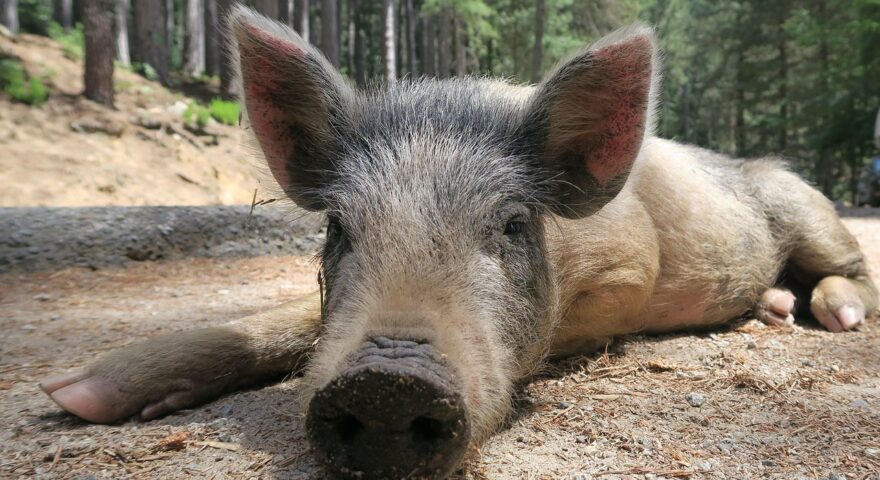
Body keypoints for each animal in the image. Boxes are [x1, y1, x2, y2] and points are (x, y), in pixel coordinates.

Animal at [39, 6, 878, 479]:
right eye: (338, 226)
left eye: (512, 224)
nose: (385, 382)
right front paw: (74, 397)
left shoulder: (631, 268)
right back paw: (772, 308)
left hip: (803, 203)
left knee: (850, 268)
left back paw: (829, 315)